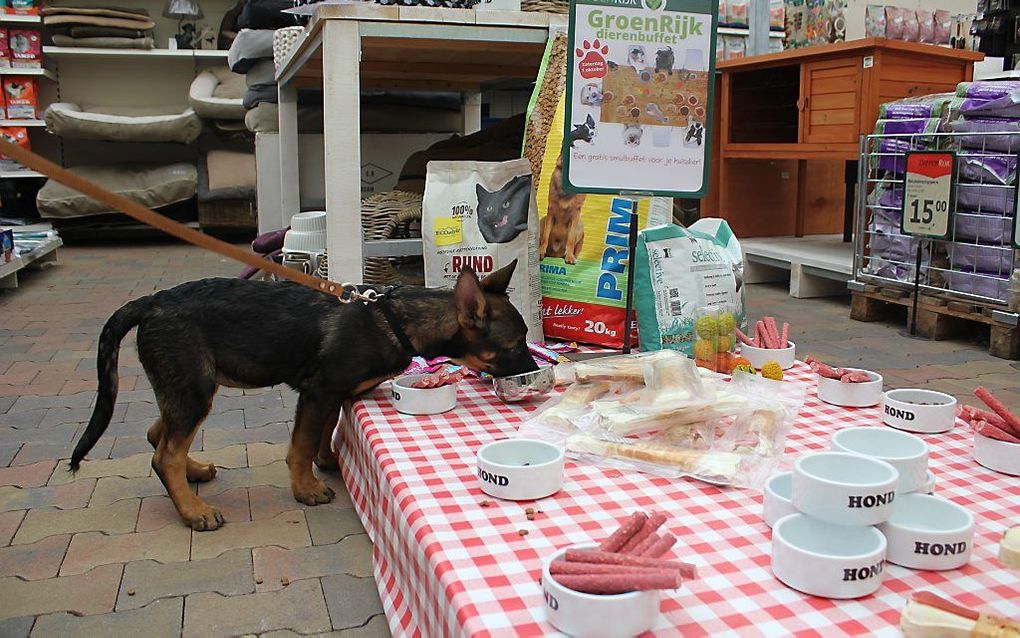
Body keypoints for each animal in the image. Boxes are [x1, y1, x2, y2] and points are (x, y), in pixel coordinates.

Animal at [69, 261, 534, 530]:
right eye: (514, 345)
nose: (533, 372)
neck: (396, 321)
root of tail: (150, 302)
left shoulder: (331, 396)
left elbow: (324, 434)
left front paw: (328, 462)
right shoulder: (317, 392)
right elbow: (301, 445)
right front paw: (307, 488)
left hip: (190, 386)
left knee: (157, 435)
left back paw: (193, 472)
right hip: (194, 388)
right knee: (164, 453)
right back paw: (193, 512)